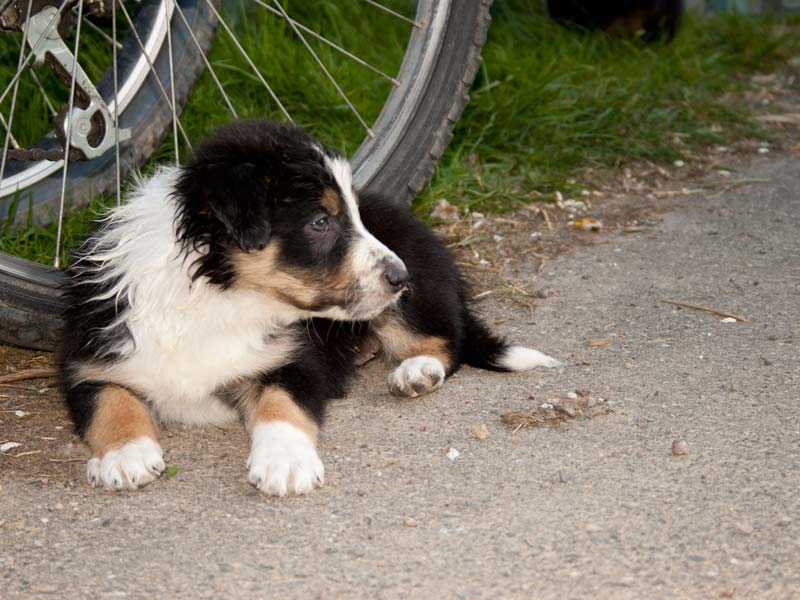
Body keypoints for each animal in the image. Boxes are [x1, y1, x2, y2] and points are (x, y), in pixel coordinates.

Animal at [59, 119, 560, 494]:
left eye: (350, 215)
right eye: (320, 222)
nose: (401, 278)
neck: (218, 296)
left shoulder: (295, 359)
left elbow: (282, 405)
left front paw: (284, 463)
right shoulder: (87, 360)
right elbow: (110, 401)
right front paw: (125, 455)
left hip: (410, 306)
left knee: (445, 342)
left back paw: (416, 372)